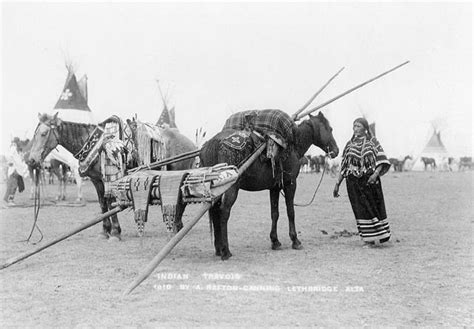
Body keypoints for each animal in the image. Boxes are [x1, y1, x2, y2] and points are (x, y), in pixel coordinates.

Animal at [200, 111, 340, 258]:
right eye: (330, 129)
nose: (336, 150)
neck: (292, 145)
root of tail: (213, 142)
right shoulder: (290, 184)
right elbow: (291, 211)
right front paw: (295, 240)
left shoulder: (275, 187)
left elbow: (275, 213)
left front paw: (275, 241)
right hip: (231, 187)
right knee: (224, 212)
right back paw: (226, 251)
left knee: (215, 212)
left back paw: (218, 248)